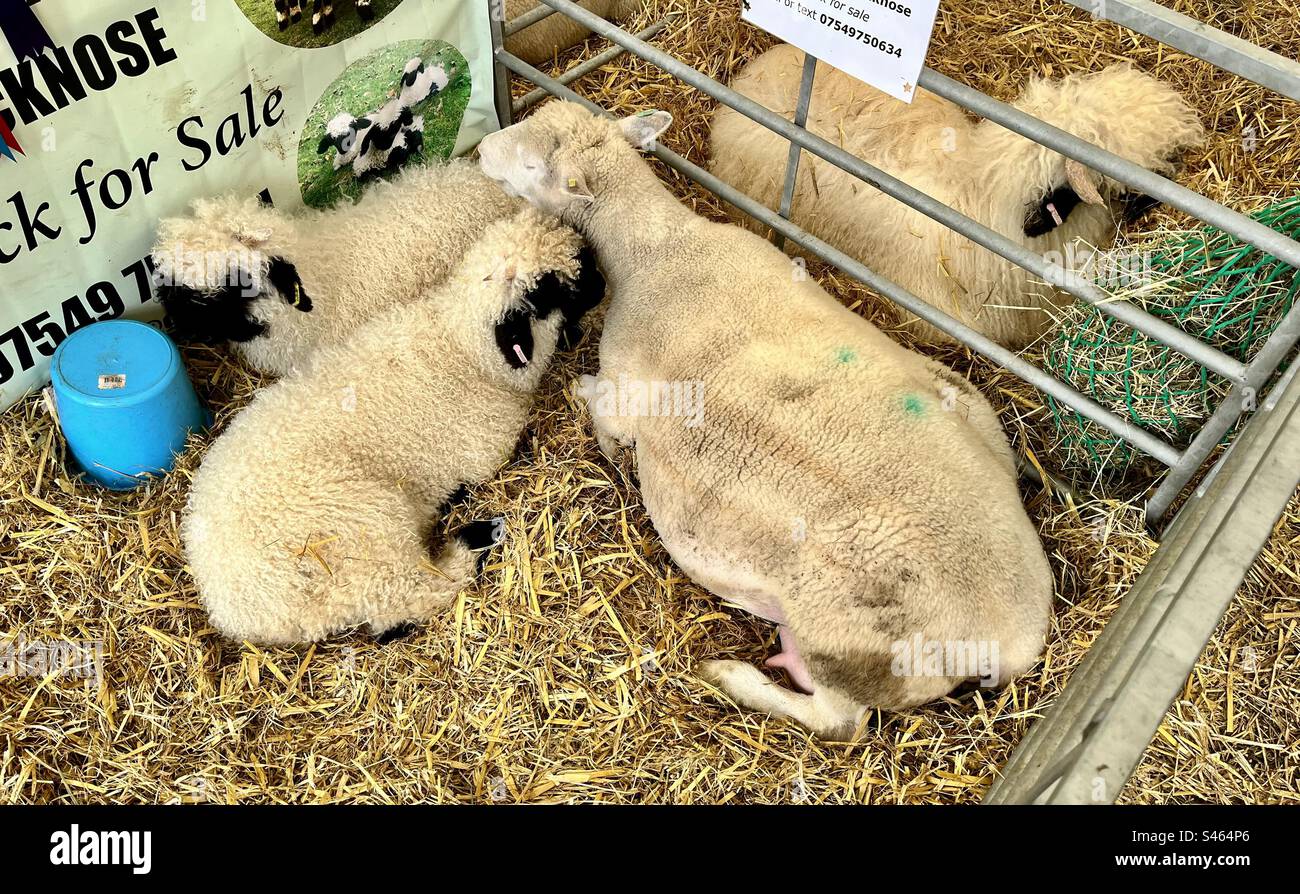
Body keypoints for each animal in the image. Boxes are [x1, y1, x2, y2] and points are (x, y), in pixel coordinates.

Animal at [182, 208, 604, 645]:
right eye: (550, 291)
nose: (604, 284)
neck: (463, 348)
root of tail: (233, 610)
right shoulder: (488, 449)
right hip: (366, 529)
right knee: (411, 597)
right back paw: (476, 536)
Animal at [478, 100, 1054, 738]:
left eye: (532, 164)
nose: (479, 149)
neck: (659, 250)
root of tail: (1014, 633)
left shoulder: (624, 392)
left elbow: (605, 420)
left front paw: (587, 404)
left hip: (849, 644)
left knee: (840, 722)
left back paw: (733, 676)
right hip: (974, 406)